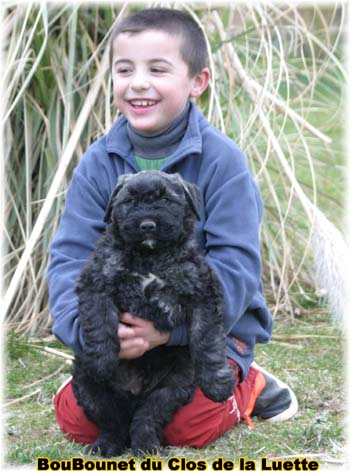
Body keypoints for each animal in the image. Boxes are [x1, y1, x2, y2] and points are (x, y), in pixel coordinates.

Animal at [72, 171, 235, 460]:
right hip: (87, 386)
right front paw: (101, 361)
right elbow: (100, 321)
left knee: (147, 417)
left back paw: (147, 447)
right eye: (129, 201)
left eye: (166, 200)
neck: (150, 255)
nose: (147, 225)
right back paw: (106, 445)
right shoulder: (97, 281)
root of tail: (134, 394)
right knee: (112, 421)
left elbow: (207, 338)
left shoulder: (203, 292)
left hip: (174, 387)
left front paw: (217, 383)